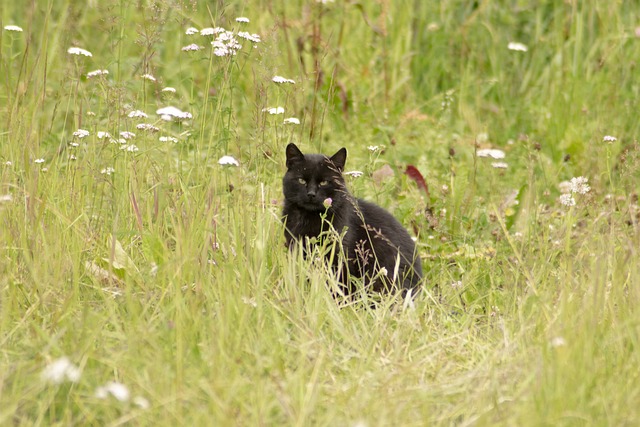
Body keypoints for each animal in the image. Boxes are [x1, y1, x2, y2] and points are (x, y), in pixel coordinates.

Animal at [282, 144, 422, 298]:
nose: (311, 194)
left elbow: (338, 284)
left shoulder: (341, 256)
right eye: (301, 180)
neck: (308, 217)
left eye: (324, 182)